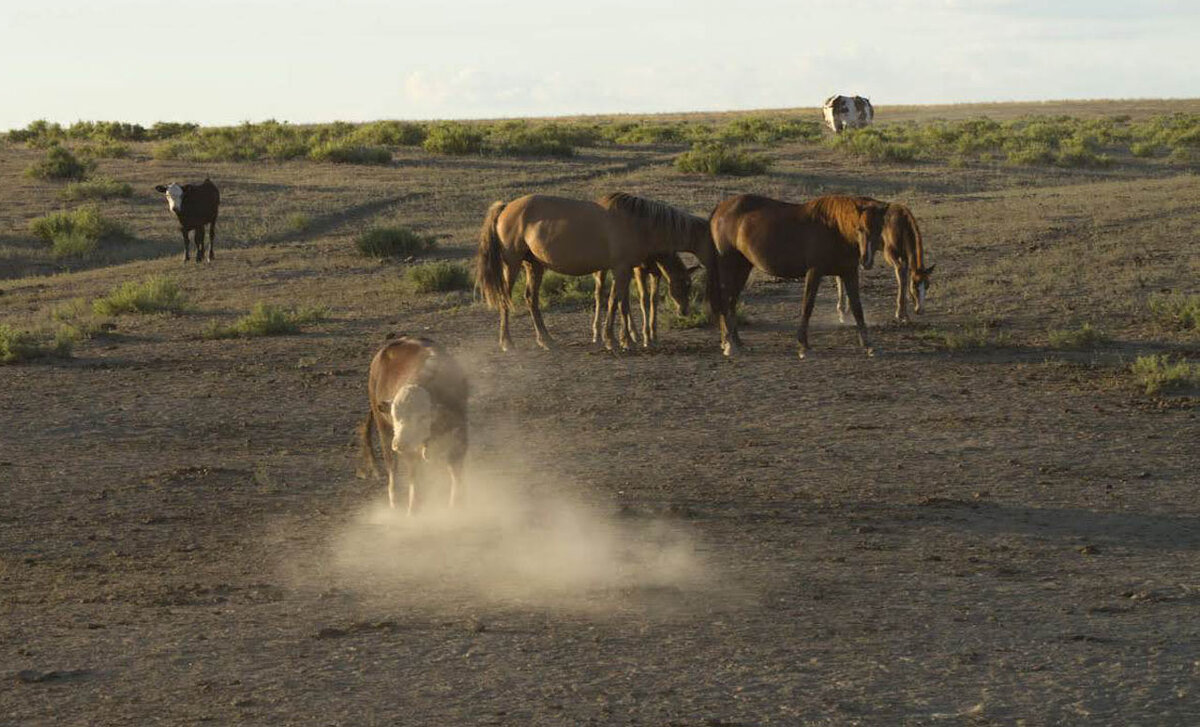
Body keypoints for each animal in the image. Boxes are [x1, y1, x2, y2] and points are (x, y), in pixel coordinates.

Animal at [355, 338, 468, 515]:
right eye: (395, 415)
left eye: (422, 417)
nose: (399, 444)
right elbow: (414, 476)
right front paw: (413, 509)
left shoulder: (459, 436)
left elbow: (455, 472)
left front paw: (456, 505)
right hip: (384, 430)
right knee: (392, 465)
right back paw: (394, 503)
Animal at [475, 194, 720, 352]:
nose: (685, 311)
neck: (638, 223)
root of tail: (506, 207)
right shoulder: (622, 268)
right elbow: (614, 302)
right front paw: (615, 340)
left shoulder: (626, 270)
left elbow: (620, 302)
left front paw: (625, 338)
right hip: (513, 263)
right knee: (506, 297)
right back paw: (507, 342)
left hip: (534, 265)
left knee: (531, 299)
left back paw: (546, 340)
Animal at [710, 194, 892, 359]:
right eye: (859, 228)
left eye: (879, 228)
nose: (866, 260)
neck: (835, 229)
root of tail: (721, 207)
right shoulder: (814, 271)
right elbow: (807, 305)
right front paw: (803, 346)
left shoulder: (849, 272)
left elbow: (857, 308)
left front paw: (869, 346)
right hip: (728, 265)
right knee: (726, 301)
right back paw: (729, 344)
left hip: (743, 267)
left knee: (731, 302)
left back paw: (736, 342)